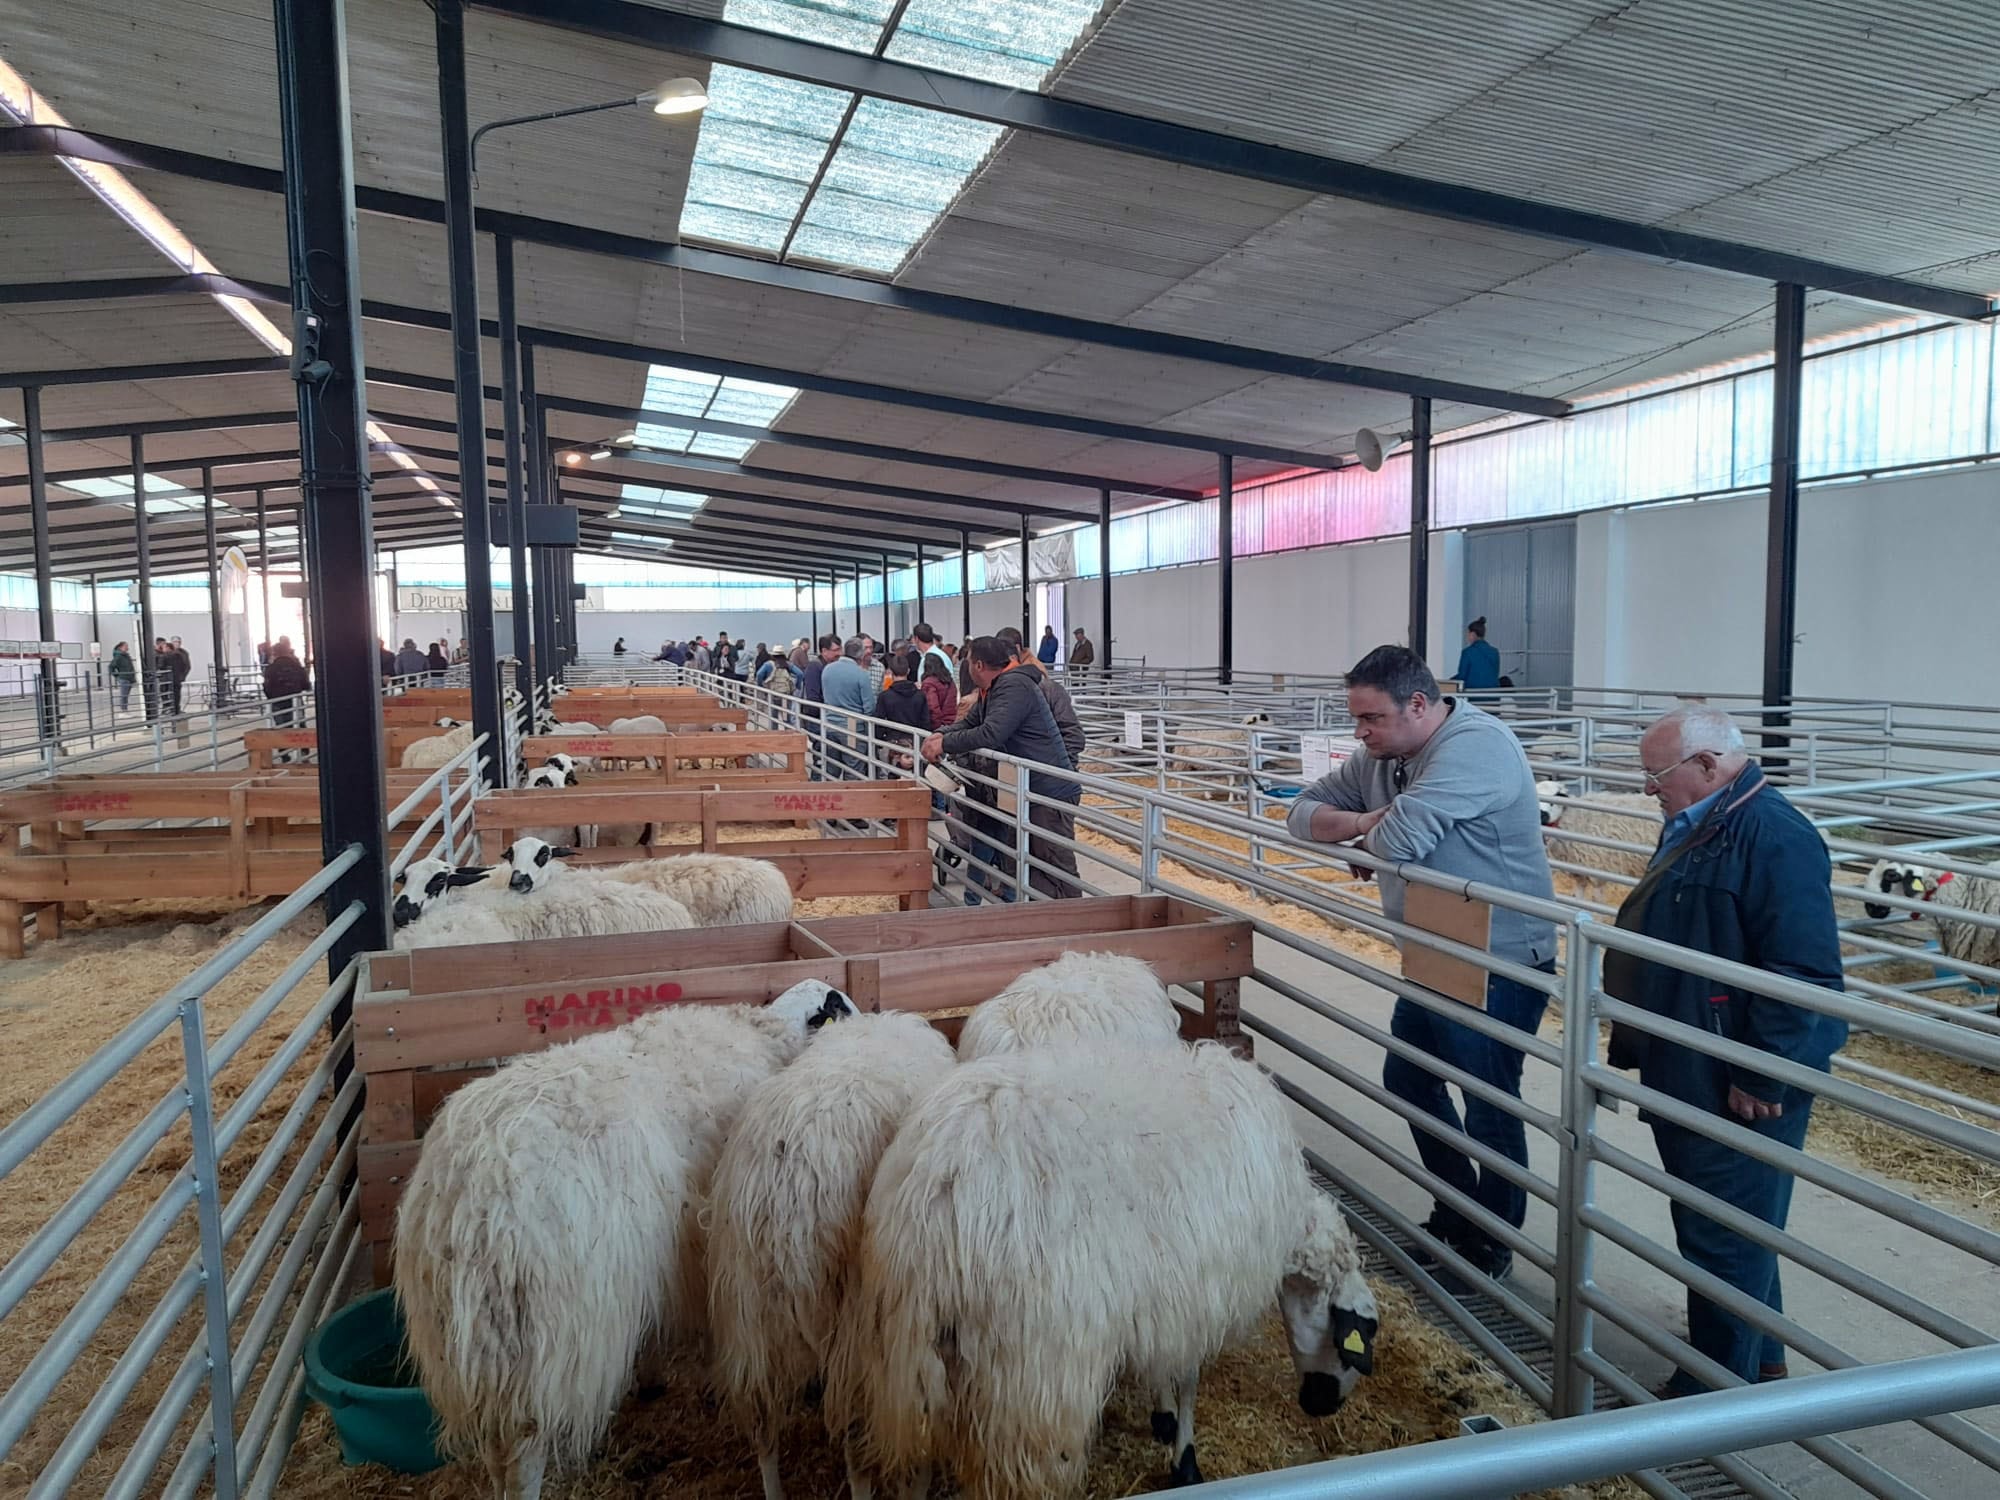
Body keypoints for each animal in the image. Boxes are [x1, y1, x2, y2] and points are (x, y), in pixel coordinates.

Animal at [394, 980, 856, 1500]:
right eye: (845, 1006)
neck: (770, 1034)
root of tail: (462, 1202)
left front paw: (652, 1377)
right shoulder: (707, 1248)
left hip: (478, 1356)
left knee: (495, 1454)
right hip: (541, 1350)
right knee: (523, 1458)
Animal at [708, 1012, 956, 1500]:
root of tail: (786, 1191)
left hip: (749, 1319)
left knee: (763, 1425)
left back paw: (774, 1489)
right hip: (852, 1327)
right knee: (858, 1440)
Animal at [828, 1048, 1376, 1500]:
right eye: (1358, 1333)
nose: (1324, 1406)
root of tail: (939, 1190)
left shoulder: (1166, 1290)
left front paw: (1163, 1418)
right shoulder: (1200, 1291)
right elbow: (1187, 1376)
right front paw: (1185, 1459)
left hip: (902, 1352)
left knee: (910, 1460)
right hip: (1032, 1378)